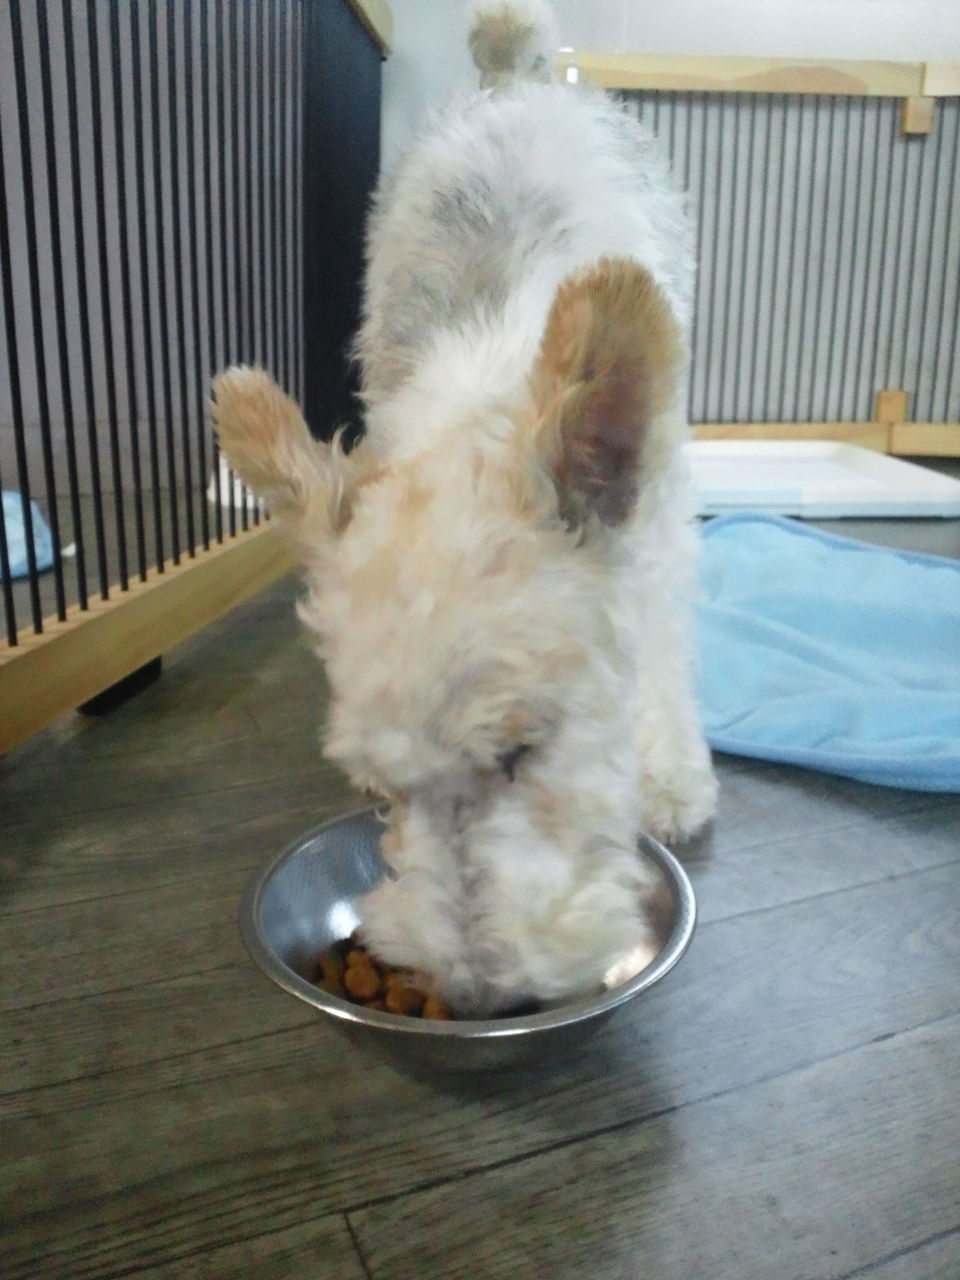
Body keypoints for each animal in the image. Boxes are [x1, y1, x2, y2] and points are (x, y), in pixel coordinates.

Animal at [213, 0, 717, 1016]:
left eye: (521, 751)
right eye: (376, 789)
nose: (486, 999)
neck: (484, 402)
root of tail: (515, 76)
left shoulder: (659, 522)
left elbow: (663, 644)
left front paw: (671, 776)